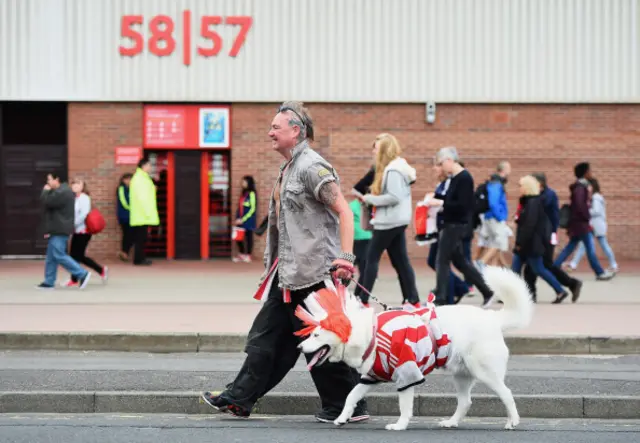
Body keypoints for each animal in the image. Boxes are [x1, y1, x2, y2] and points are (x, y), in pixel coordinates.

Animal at [296, 266, 536, 432]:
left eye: (316, 335)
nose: (299, 346)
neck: (369, 335)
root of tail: (493, 318)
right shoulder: (370, 377)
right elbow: (350, 396)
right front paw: (341, 418)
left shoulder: (407, 375)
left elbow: (404, 407)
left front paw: (399, 426)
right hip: (461, 375)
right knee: (465, 402)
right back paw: (451, 422)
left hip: (486, 373)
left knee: (507, 394)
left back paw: (513, 422)